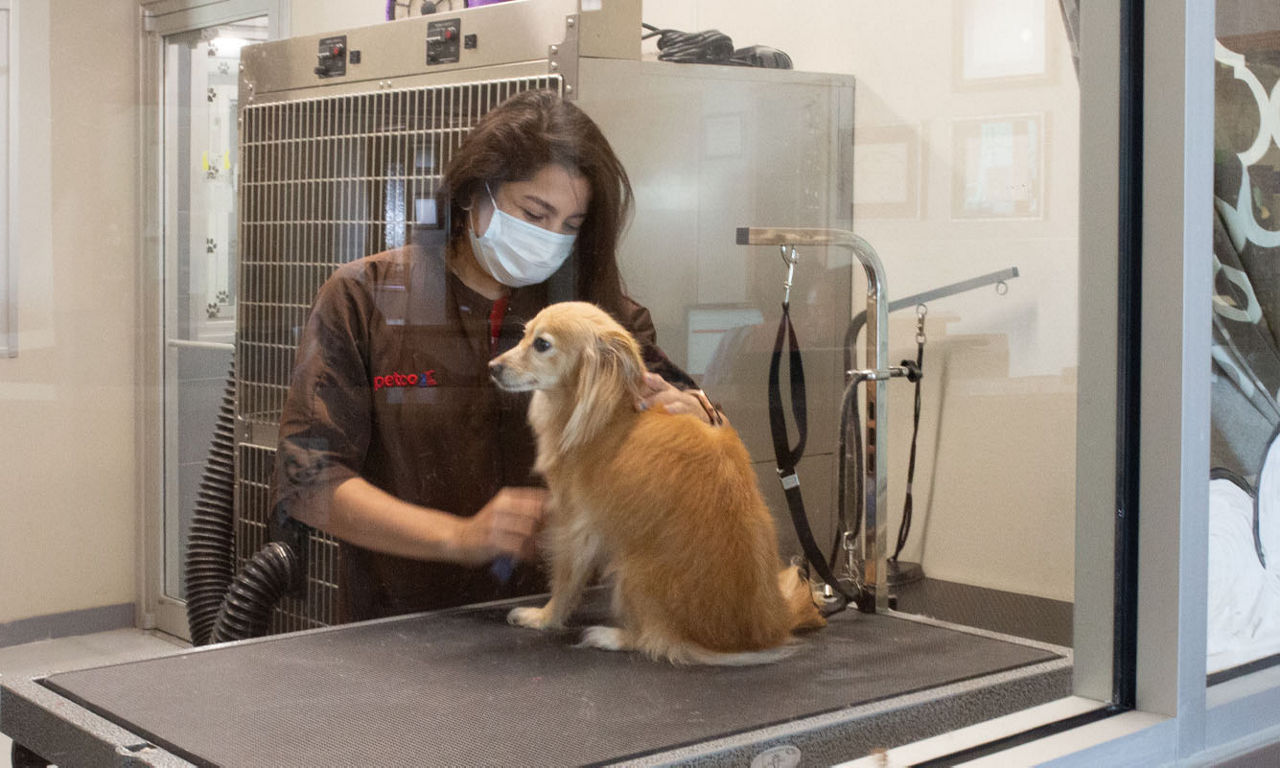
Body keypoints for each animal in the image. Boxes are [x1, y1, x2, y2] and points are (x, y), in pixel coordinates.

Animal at [483, 303, 824, 660]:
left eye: (542, 345)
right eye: (523, 335)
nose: (492, 366)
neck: (611, 412)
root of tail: (765, 630)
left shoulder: (577, 523)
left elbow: (566, 579)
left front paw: (543, 617)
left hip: (631, 568)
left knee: (657, 639)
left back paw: (612, 636)